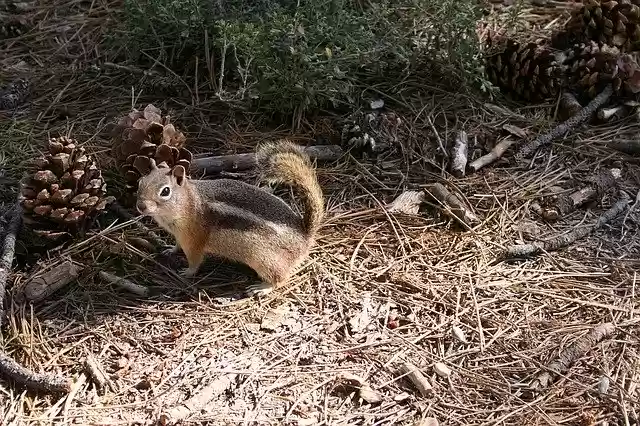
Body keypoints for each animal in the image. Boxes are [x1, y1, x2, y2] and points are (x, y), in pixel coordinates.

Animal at [135, 140, 324, 297]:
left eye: (165, 191)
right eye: (140, 182)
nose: (140, 206)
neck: (188, 202)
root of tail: (305, 235)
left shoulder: (194, 240)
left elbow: (195, 261)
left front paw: (187, 272)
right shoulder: (180, 235)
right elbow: (176, 245)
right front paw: (170, 250)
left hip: (264, 260)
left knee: (280, 278)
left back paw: (262, 288)